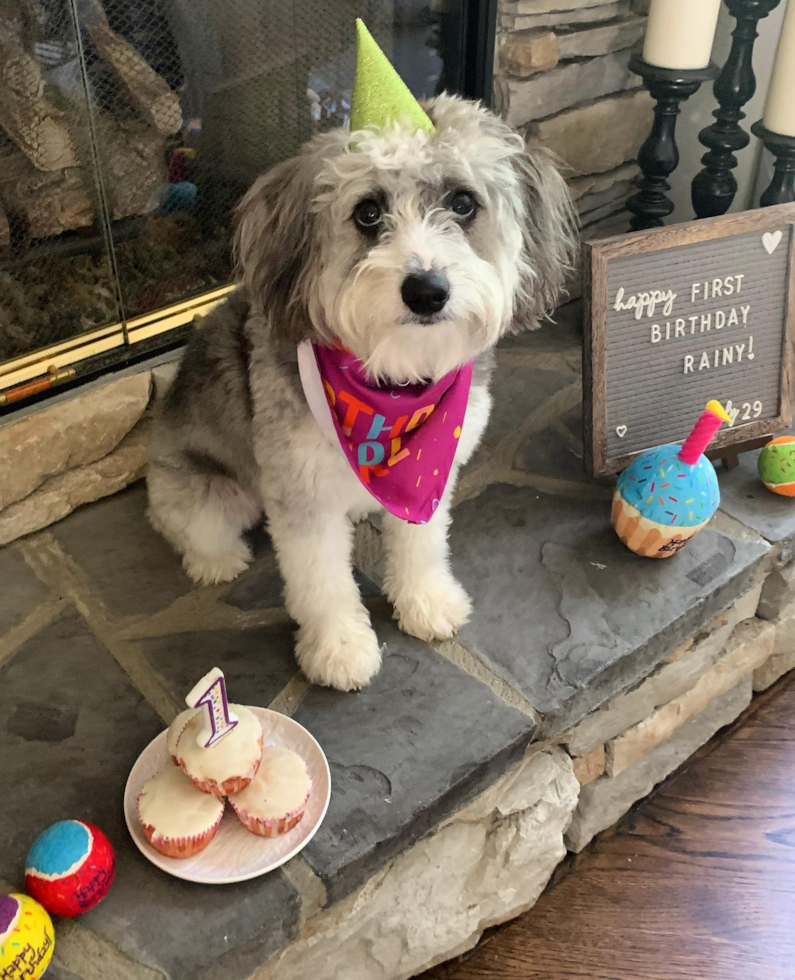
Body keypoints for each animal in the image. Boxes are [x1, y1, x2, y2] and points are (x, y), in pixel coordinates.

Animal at [146, 92, 576, 688]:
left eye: (463, 203)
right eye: (368, 212)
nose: (427, 291)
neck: (393, 382)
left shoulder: (431, 472)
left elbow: (421, 542)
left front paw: (424, 600)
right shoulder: (300, 494)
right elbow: (321, 581)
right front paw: (339, 647)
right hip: (209, 491)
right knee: (187, 527)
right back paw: (216, 560)